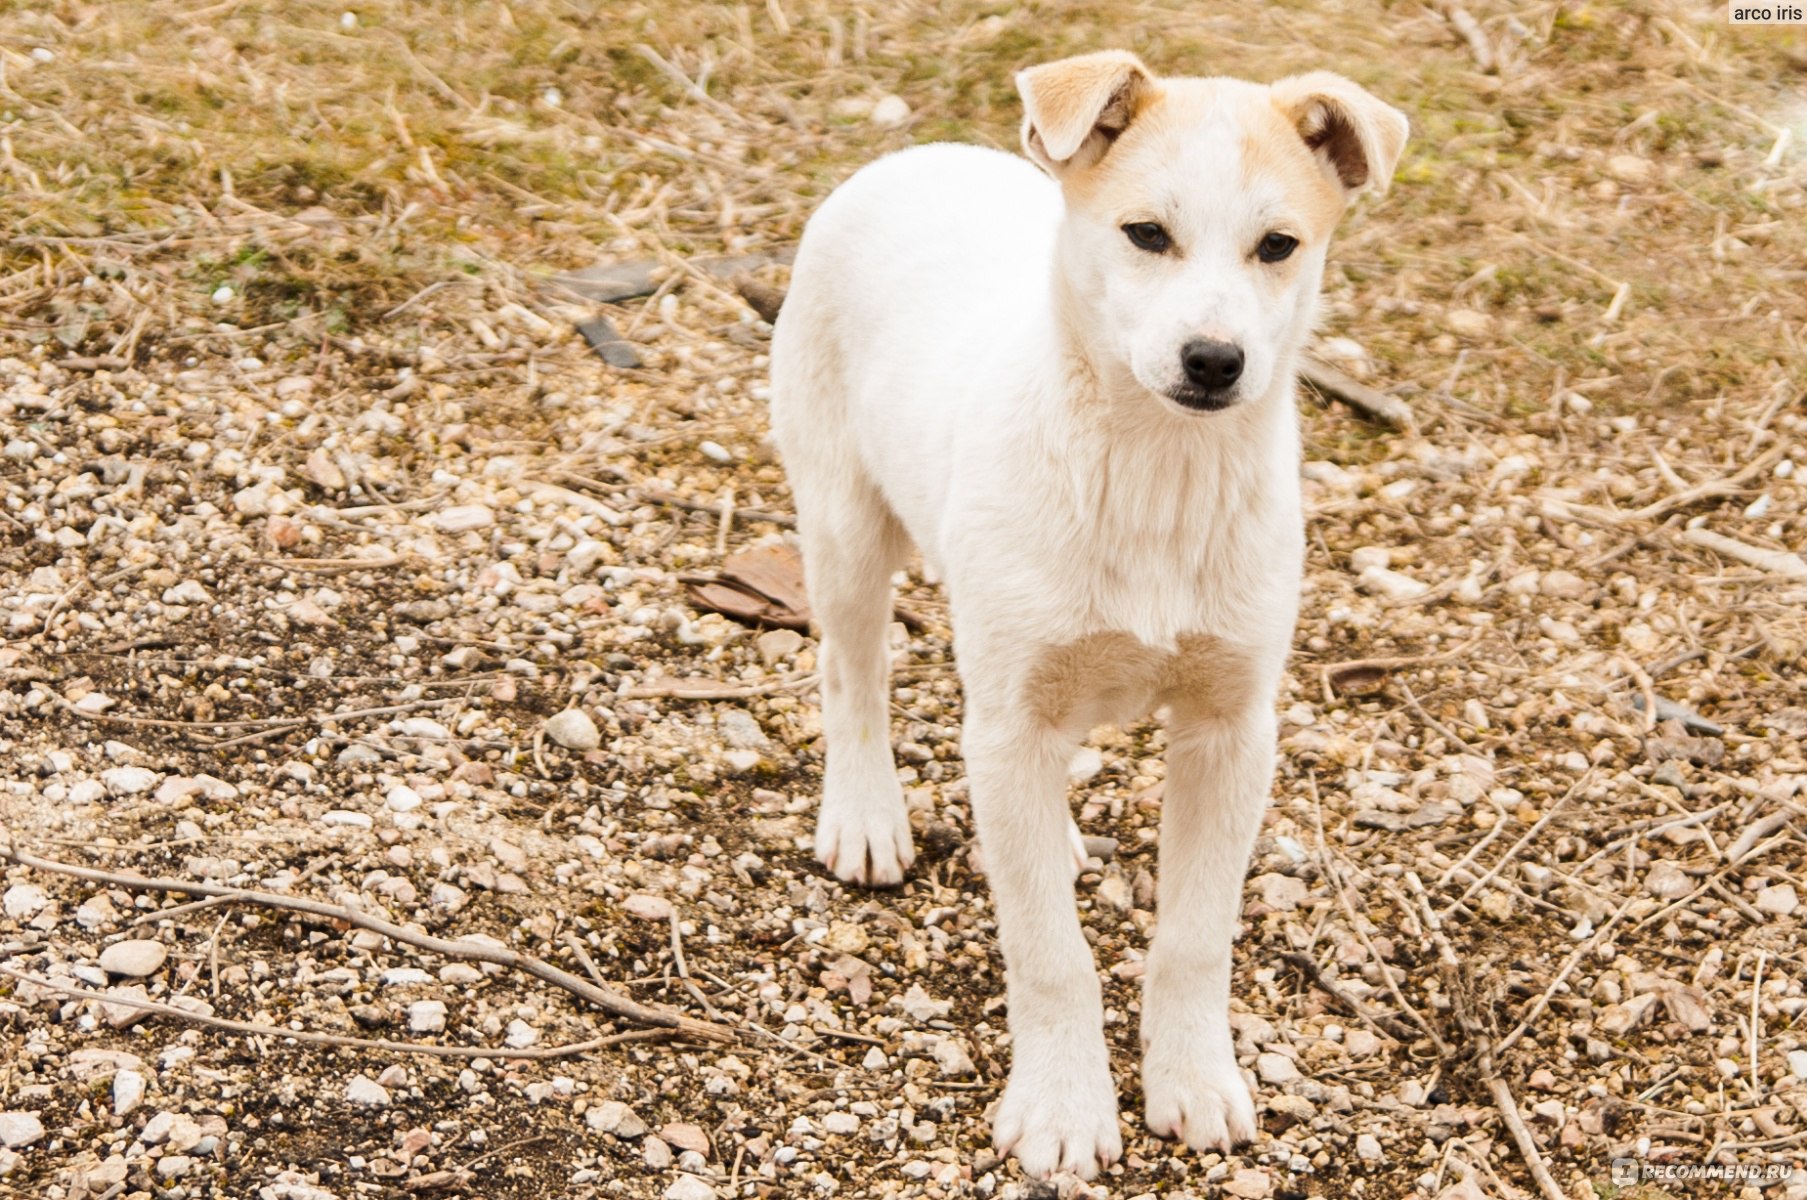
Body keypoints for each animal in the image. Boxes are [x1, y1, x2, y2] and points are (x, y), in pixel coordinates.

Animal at [769, 49, 1402, 1178]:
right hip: (843, 521)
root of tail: (916, 156)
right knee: (851, 672)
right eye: (1145, 234)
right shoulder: (1012, 717)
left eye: (1278, 246)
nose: (1213, 361)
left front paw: (1192, 1081)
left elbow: (1194, 937)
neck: (1155, 473)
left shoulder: (1230, 730)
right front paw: (1063, 1107)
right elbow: (1047, 950)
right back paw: (865, 815)